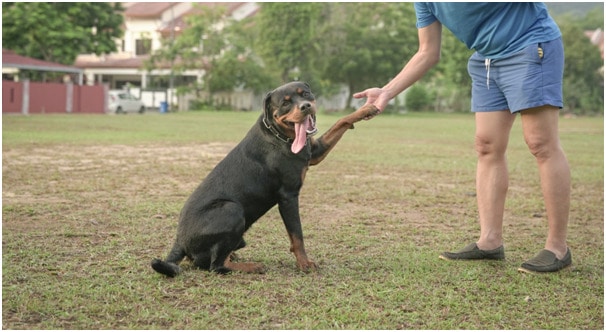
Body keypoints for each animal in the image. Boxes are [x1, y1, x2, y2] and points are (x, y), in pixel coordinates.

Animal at [151, 81, 378, 276]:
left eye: (305, 94)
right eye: (285, 103)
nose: (305, 106)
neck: (281, 136)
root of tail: (179, 240)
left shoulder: (315, 152)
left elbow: (341, 121)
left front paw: (366, 109)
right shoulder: (288, 196)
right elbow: (297, 235)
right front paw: (304, 264)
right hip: (231, 209)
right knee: (215, 266)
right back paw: (252, 266)